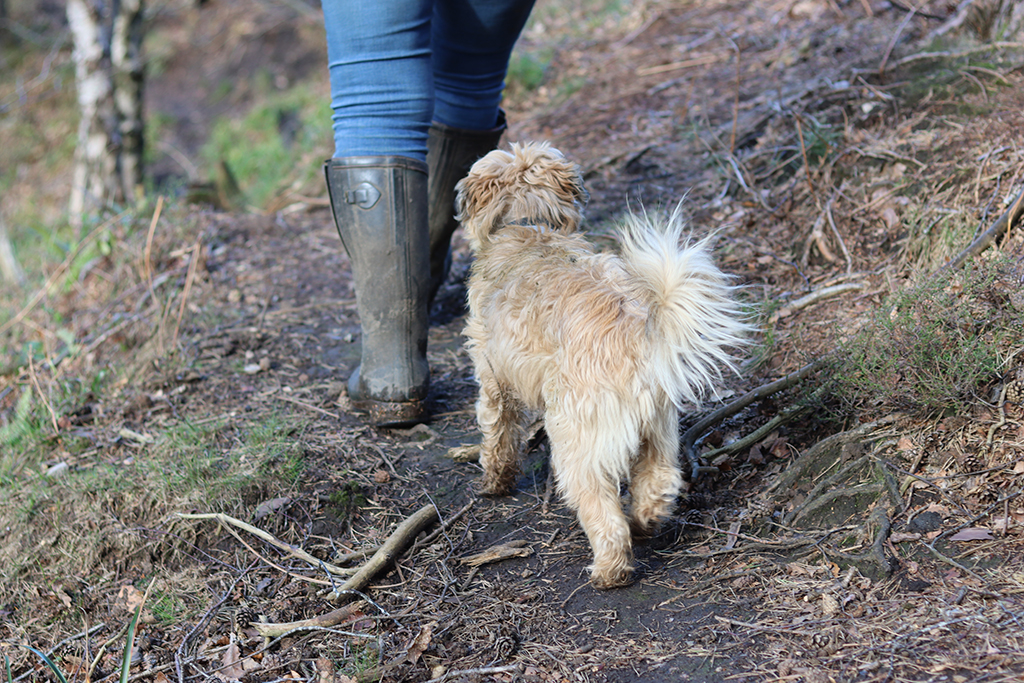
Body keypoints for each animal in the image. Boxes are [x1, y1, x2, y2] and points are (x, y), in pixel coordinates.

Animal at [456, 140, 753, 589]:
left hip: (576, 440)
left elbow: (498, 437)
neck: (527, 225)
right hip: (657, 430)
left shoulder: (494, 380)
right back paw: (645, 522)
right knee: (660, 481)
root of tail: (631, 331)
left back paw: (610, 570)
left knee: (601, 508)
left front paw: (494, 482)